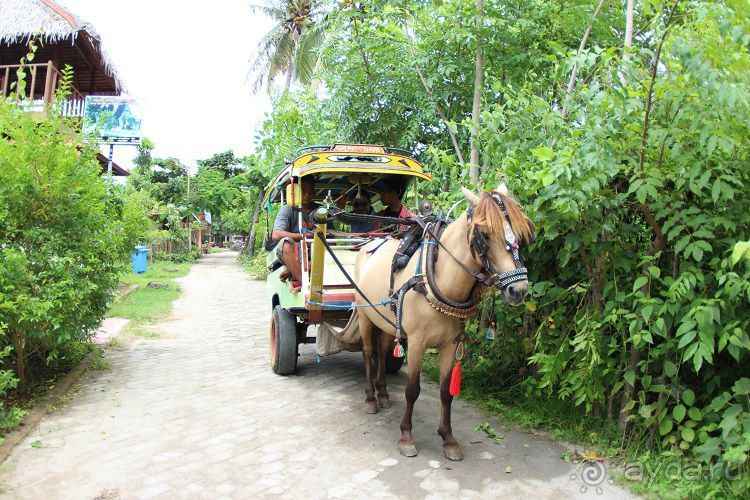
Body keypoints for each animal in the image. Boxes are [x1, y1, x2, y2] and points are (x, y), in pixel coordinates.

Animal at [354, 184, 536, 460]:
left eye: (521, 232)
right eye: (484, 235)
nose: (519, 290)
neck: (439, 280)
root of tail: (371, 241)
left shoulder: (451, 344)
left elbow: (445, 392)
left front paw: (448, 439)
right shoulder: (417, 342)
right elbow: (412, 390)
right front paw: (406, 436)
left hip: (386, 319)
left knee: (383, 349)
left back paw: (383, 394)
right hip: (365, 314)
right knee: (367, 352)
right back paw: (370, 399)